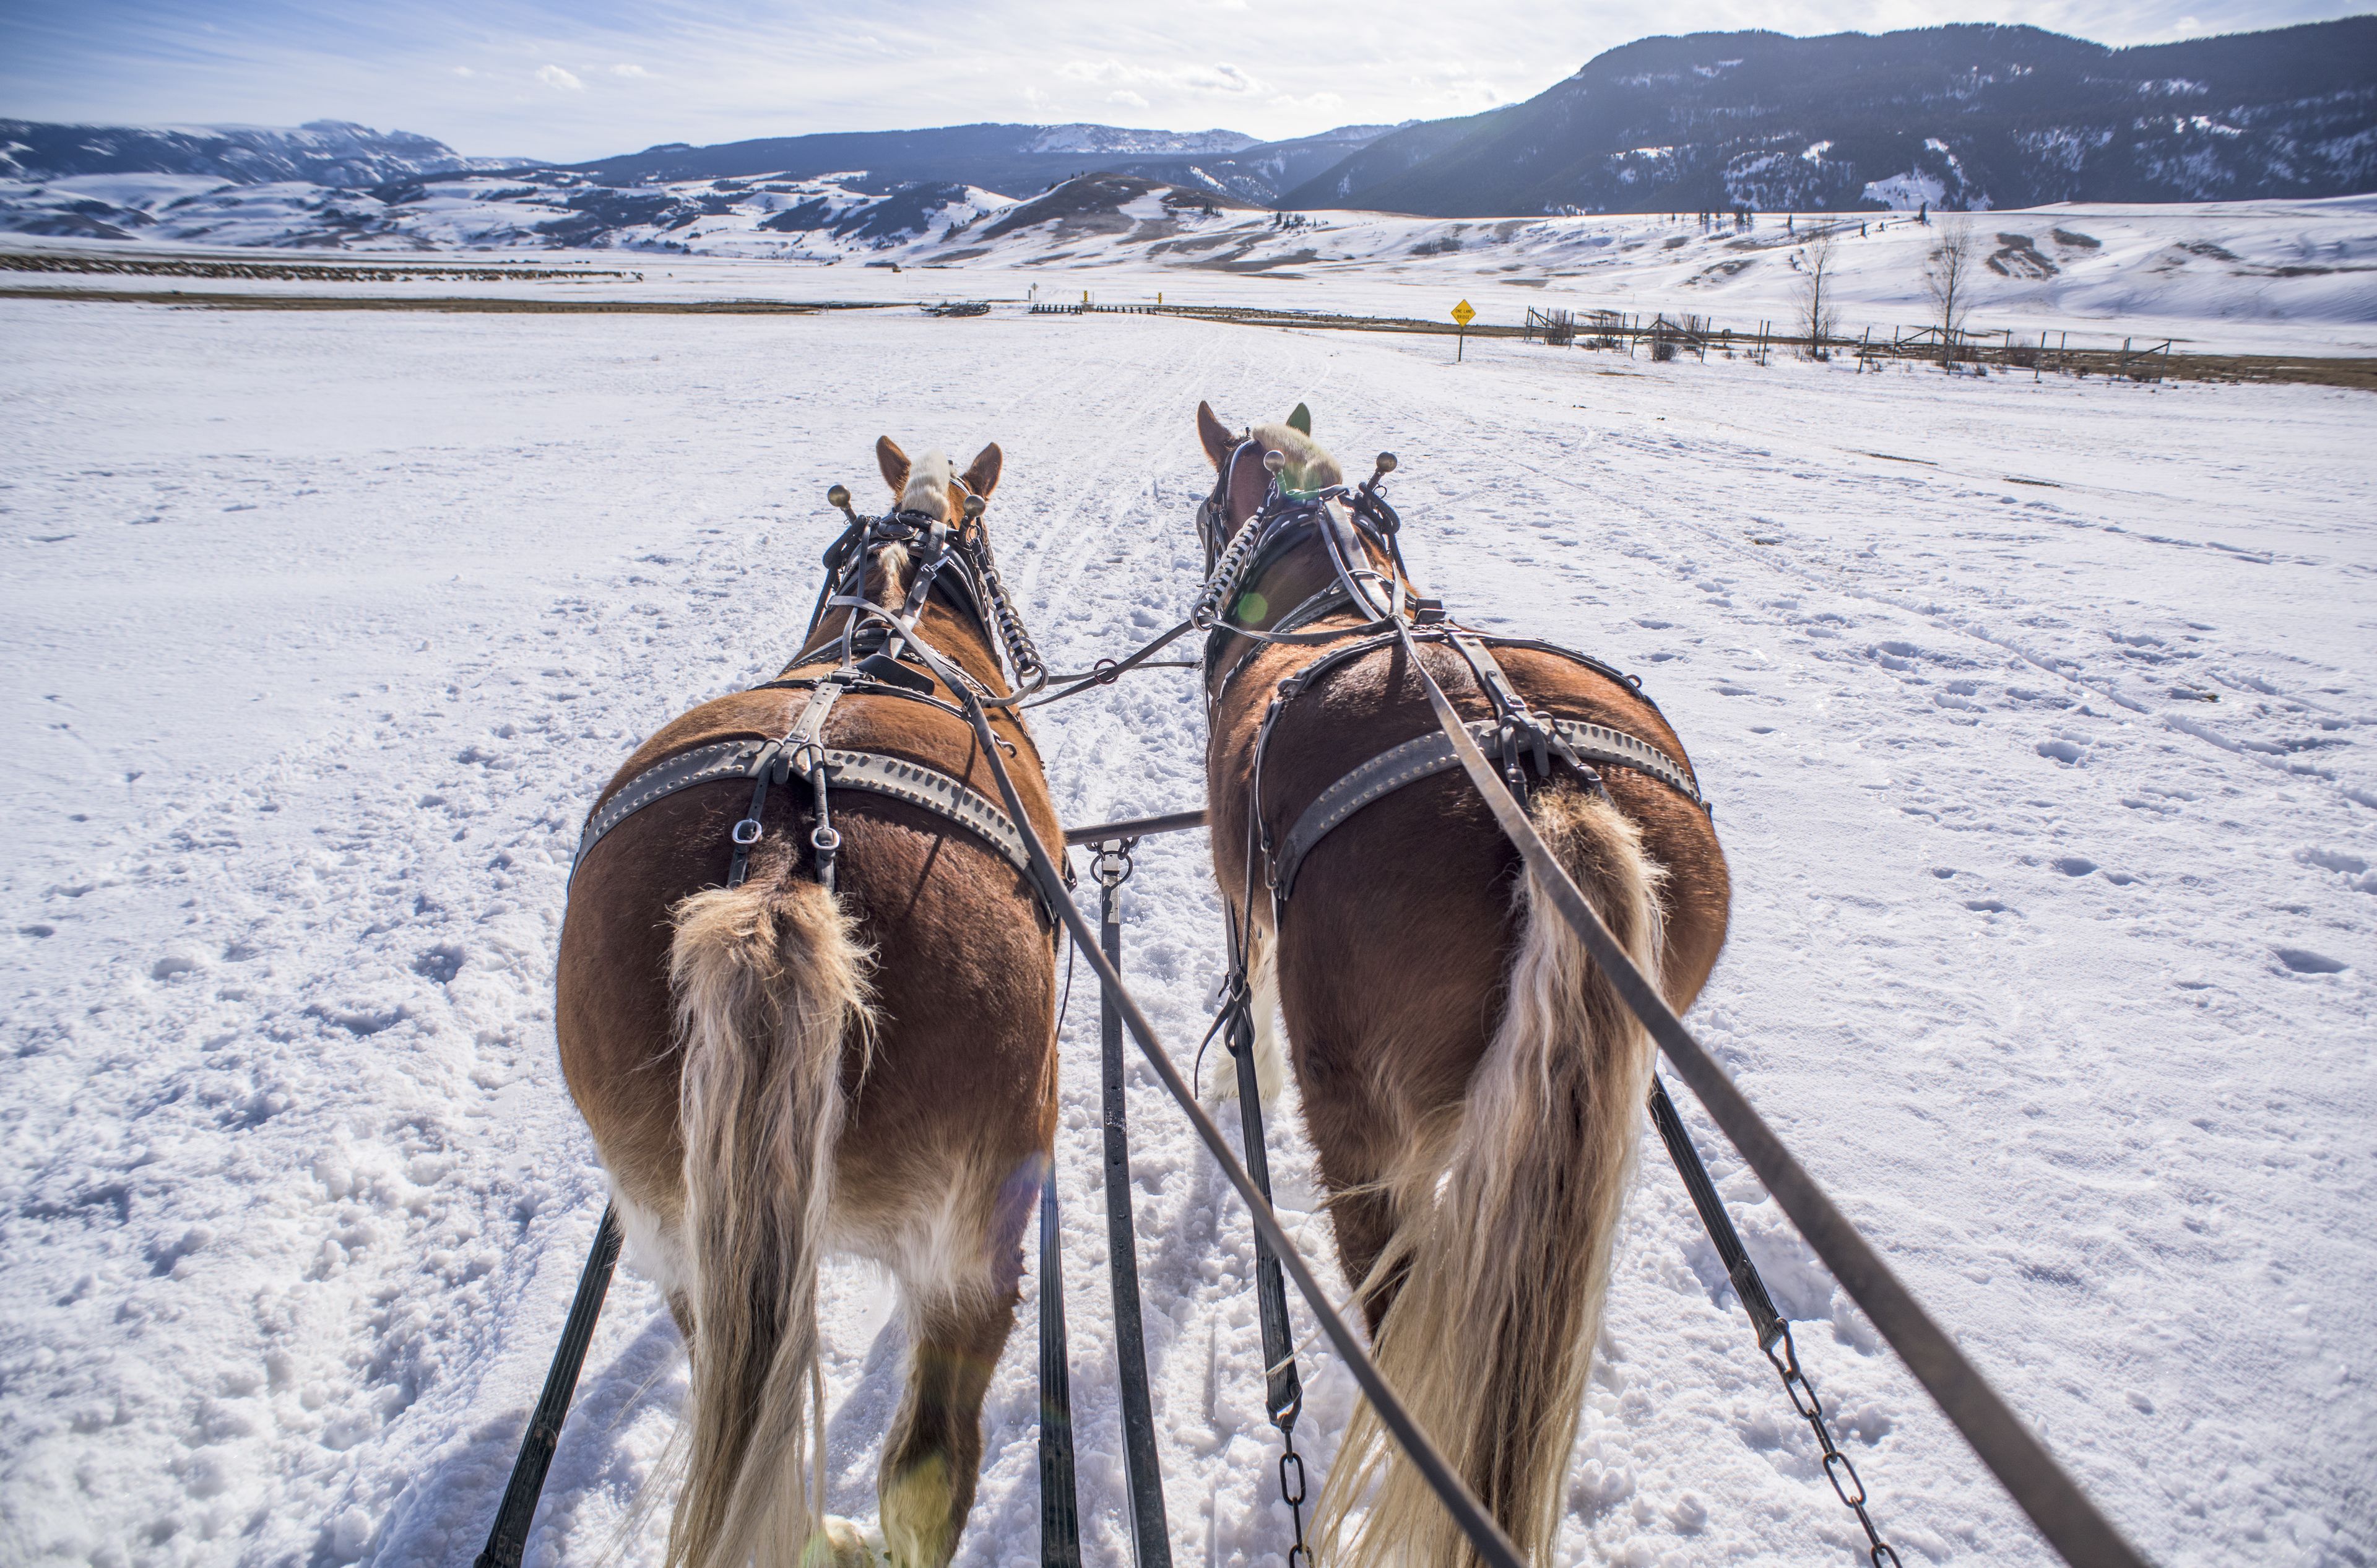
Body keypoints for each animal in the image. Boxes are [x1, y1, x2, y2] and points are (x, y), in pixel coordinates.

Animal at [1189, 402, 1733, 1566]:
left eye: (1209, 506)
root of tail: (1540, 783)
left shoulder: (1236, 891)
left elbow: (1243, 987)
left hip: (1361, 1117)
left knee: (1397, 1310)